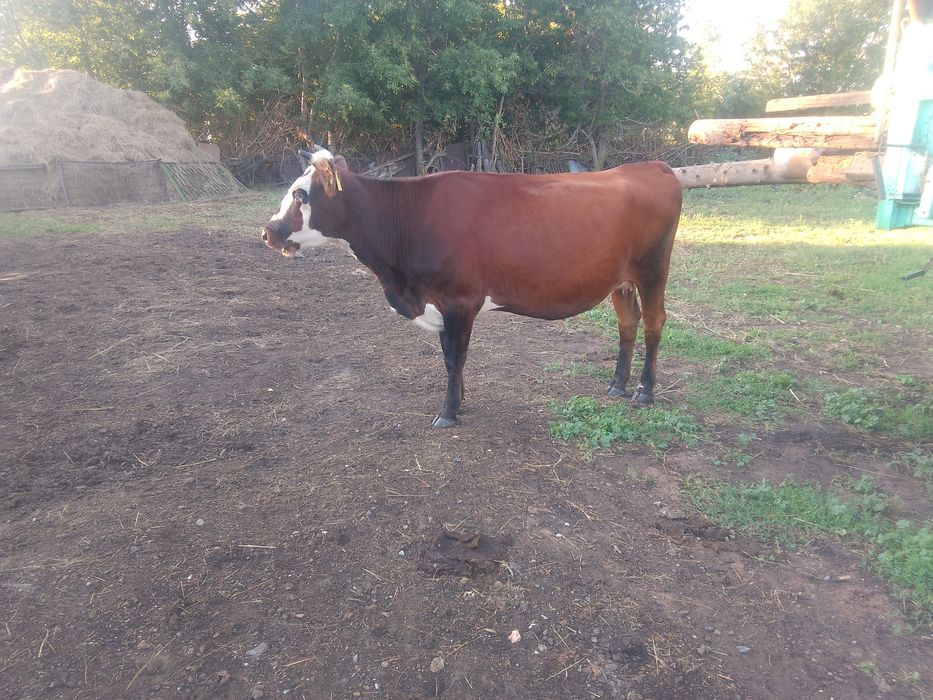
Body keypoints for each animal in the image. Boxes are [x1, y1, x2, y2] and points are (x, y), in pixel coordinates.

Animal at [261, 148, 682, 428]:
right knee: (627, 324)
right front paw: (460, 401)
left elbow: (454, 357)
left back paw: (645, 391)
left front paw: (448, 412)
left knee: (653, 323)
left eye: (300, 194)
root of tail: (652, 166)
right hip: (621, 281)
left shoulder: (459, 300)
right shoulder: (440, 304)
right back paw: (617, 385)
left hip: (653, 269)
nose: (268, 232)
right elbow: (449, 356)